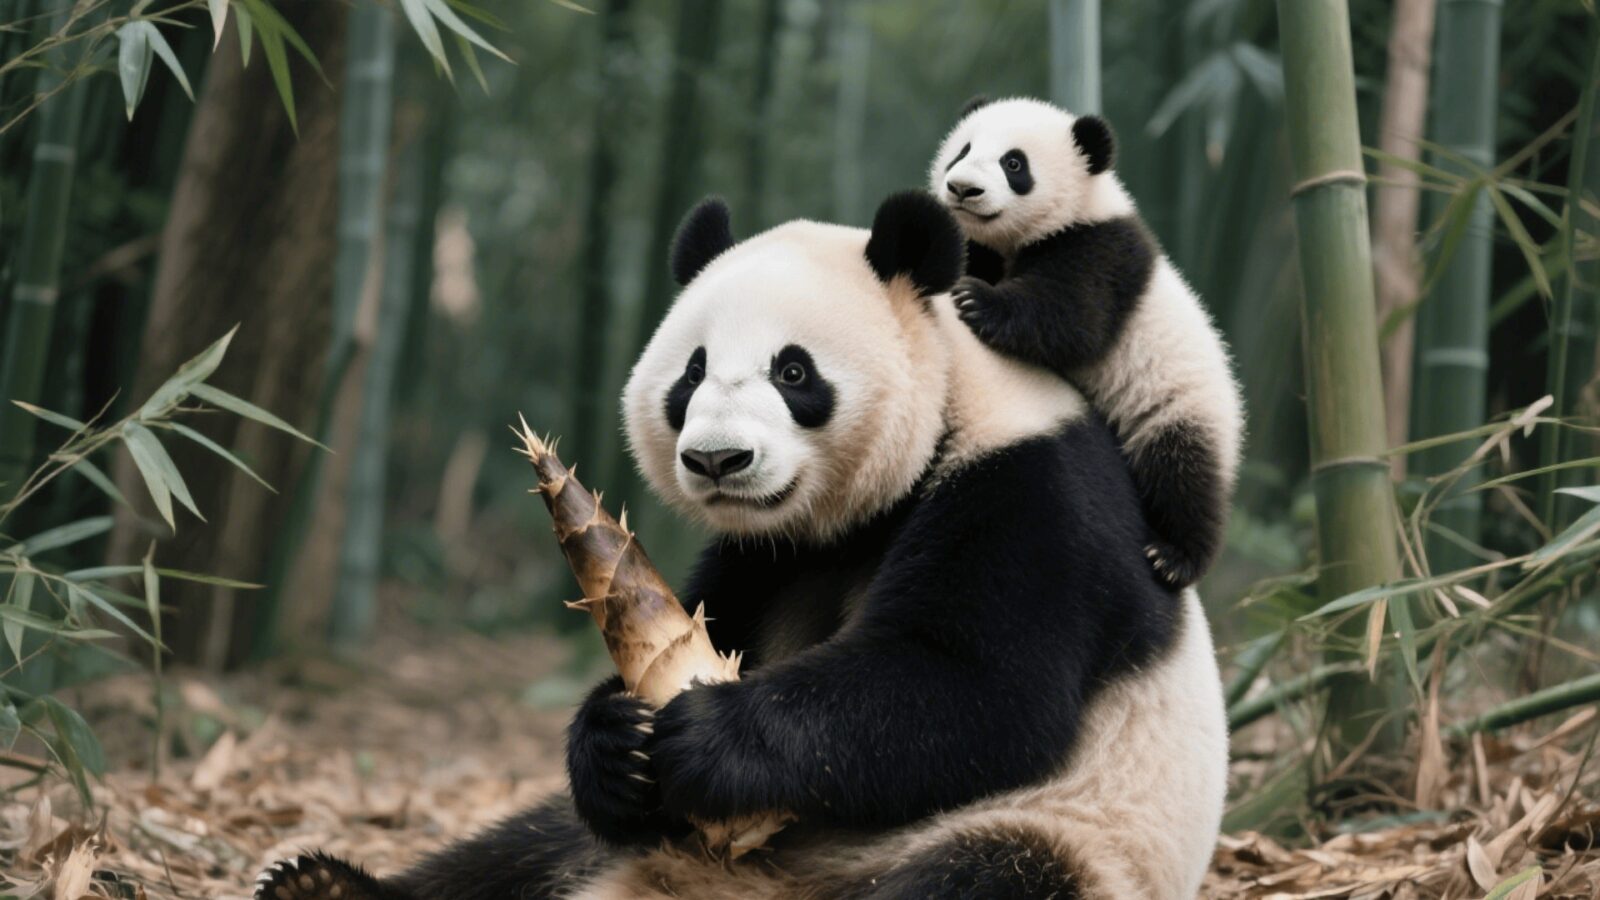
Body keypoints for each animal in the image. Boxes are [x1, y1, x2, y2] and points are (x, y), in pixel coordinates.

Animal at [255, 192, 1227, 900]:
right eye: (689, 373)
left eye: (793, 372)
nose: (718, 460)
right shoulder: (767, 556)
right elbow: (708, 626)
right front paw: (614, 732)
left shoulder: (1031, 493)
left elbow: (977, 688)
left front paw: (712, 737)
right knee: (524, 845)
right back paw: (323, 885)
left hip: (1068, 838)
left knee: (985, 875)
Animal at [931, 96, 1244, 590]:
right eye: (962, 150)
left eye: (1014, 164)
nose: (962, 188)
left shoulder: (1099, 250)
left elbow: (1073, 319)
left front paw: (975, 299)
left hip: (1181, 407)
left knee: (1182, 472)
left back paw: (1175, 556)